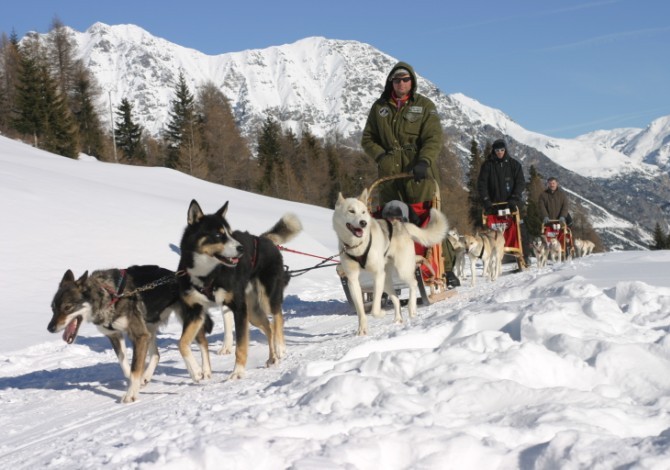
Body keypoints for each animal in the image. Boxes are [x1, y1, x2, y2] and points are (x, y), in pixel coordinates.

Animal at [48, 266, 211, 402]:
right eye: (53, 308)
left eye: (67, 307)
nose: (50, 328)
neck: (109, 295)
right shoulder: (115, 335)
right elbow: (126, 365)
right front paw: (137, 381)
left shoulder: (139, 336)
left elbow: (134, 368)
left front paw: (130, 394)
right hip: (149, 328)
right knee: (156, 354)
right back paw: (147, 376)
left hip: (188, 319)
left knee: (200, 343)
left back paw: (203, 371)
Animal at [176, 200, 302, 380]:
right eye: (218, 235)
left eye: (230, 233)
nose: (241, 249)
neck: (207, 274)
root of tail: (263, 239)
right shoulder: (195, 311)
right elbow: (182, 343)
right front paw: (197, 371)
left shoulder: (239, 309)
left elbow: (241, 345)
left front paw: (238, 372)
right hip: (253, 312)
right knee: (269, 327)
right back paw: (272, 358)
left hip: (266, 300)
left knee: (278, 319)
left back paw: (280, 348)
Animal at [334, 189, 448, 336]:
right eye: (351, 211)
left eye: (363, 212)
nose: (363, 223)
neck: (357, 246)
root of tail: (402, 226)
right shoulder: (353, 280)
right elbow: (361, 310)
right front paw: (362, 329)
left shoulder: (377, 275)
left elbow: (375, 309)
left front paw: (381, 313)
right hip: (387, 281)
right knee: (396, 298)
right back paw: (398, 318)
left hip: (402, 271)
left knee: (414, 283)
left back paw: (412, 308)